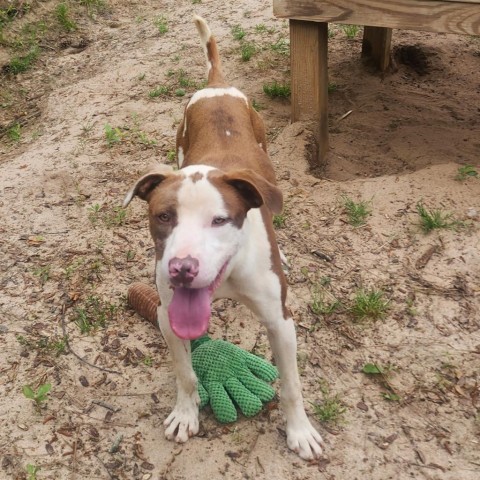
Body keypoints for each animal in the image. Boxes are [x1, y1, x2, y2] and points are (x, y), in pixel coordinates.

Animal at [124, 13, 322, 460]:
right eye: (163, 216)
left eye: (220, 220)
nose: (181, 268)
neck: (228, 276)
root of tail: (217, 83)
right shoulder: (167, 314)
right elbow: (185, 374)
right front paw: (186, 414)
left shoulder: (281, 322)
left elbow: (292, 386)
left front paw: (300, 431)